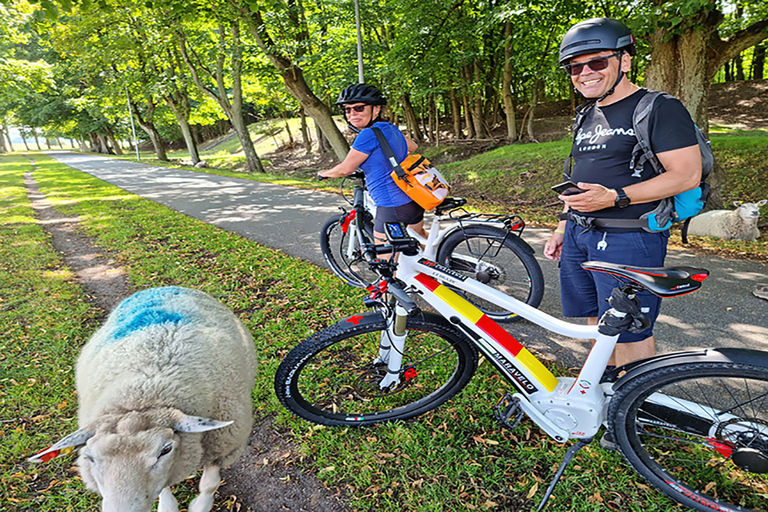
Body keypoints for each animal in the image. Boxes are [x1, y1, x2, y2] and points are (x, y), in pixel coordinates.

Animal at [28, 286, 256, 512]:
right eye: (89, 458)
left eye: (166, 450)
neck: (144, 395)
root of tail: (163, 287)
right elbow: (164, 489)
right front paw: (168, 505)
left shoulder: (224, 445)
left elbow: (209, 485)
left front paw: (200, 506)